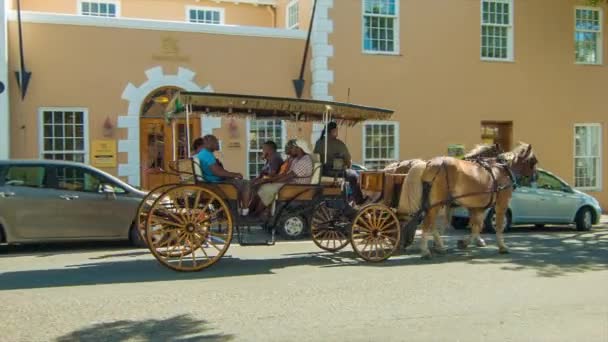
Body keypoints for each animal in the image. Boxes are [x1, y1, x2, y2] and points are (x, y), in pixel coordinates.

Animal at [394, 142, 536, 260]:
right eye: (533, 161)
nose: (535, 177)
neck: (499, 170)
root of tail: (428, 164)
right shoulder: (501, 203)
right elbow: (497, 225)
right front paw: (502, 246)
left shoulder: (475, 207)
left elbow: (476, 225)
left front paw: (467, 242)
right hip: (436, 204)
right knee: (427, 223)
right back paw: (425, 251)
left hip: (433, 203)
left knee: (430, 223)